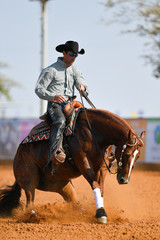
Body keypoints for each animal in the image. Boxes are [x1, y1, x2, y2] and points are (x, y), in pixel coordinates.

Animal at [0, 109, 145, 223]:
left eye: (137, 156)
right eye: (127, 154)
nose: (124, 179)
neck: (93, 132)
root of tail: (19, 151)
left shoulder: (102, 167)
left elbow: (101, 188)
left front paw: (99, 210)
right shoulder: (83, 163)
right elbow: (95, 185)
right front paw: (101, 214)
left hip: (63, 185)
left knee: (74, 202)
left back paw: (81, 213)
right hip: (29, 179)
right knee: (29, 203)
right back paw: (35, 217)